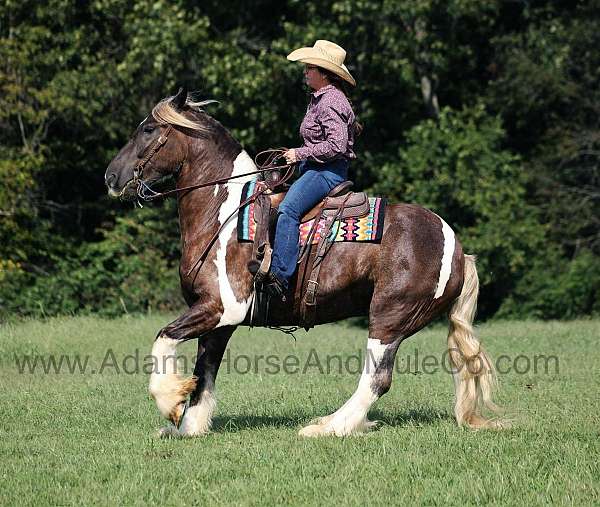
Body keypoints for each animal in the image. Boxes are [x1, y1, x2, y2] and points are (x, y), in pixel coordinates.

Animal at [104, 89, 502, 438]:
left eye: (149, 129)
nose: (111, 176)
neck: (224, 214)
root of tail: (456, 248)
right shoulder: (218, 321)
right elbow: (204, 373)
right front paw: (188, 427)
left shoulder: (222, 307)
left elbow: (163, 337)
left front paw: (169, 402)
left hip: (390, 317)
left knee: (376, 379)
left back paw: (328, 427)